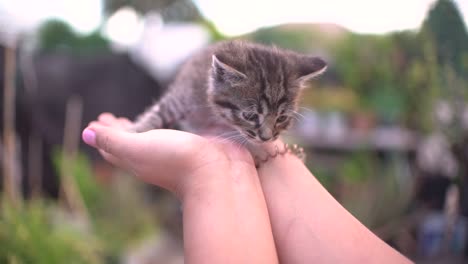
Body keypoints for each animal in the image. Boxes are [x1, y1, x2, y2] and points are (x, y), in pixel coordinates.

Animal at [130, 40, 328, 161]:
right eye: (250, 116)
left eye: (281, 118)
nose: (266, 138)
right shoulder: (183, 96)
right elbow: (160, 112)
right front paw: (137, 129)